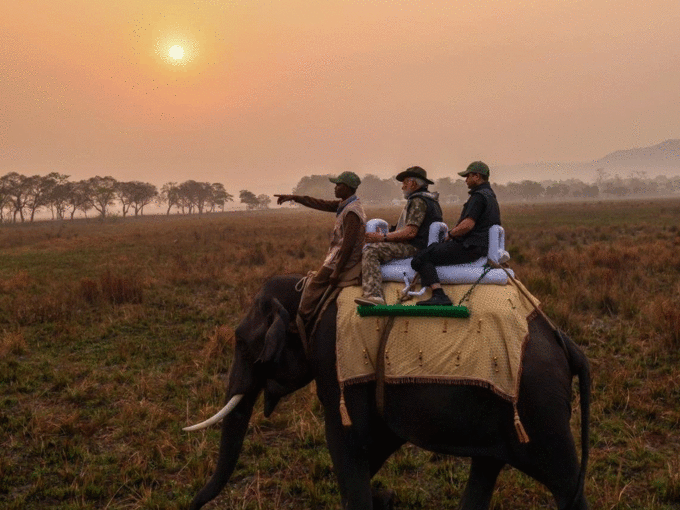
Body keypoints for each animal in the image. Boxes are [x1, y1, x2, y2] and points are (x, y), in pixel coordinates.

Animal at [185, 274, 588, 510]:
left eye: (241, 342)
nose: (191, 504)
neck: (309, 292)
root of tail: (565, 342)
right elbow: (375, 443)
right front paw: (385, 498)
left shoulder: (335, 362)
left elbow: (349, 443)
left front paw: (375, 498)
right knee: (487, 466)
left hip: (540, 406)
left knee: (566, 482)